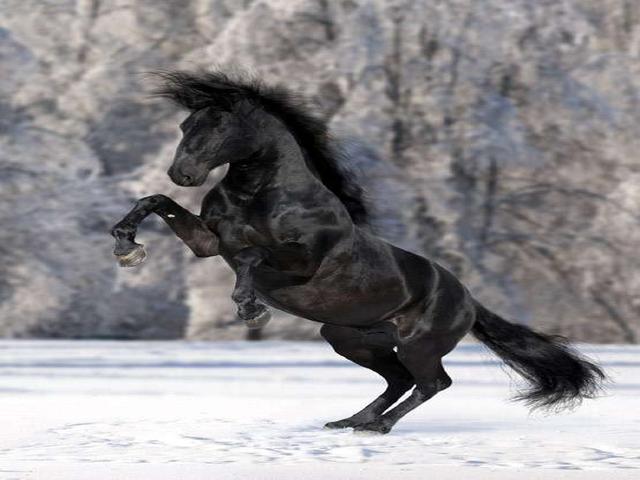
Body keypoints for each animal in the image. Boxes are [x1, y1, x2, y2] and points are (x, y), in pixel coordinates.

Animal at [110, 70, 605, 434]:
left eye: (221, 126)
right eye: (185, 125)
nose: (182, 173)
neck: (261, 193)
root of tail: (468, 299)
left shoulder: (300, 260)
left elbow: (253, 257)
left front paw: (250, 308)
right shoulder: (209, 244)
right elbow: (154, 202)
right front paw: (126, 247)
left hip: (419, 344)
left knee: (432, 382)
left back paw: (377, 427)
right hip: (349, 337)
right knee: (400, 379)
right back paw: (352, 420)